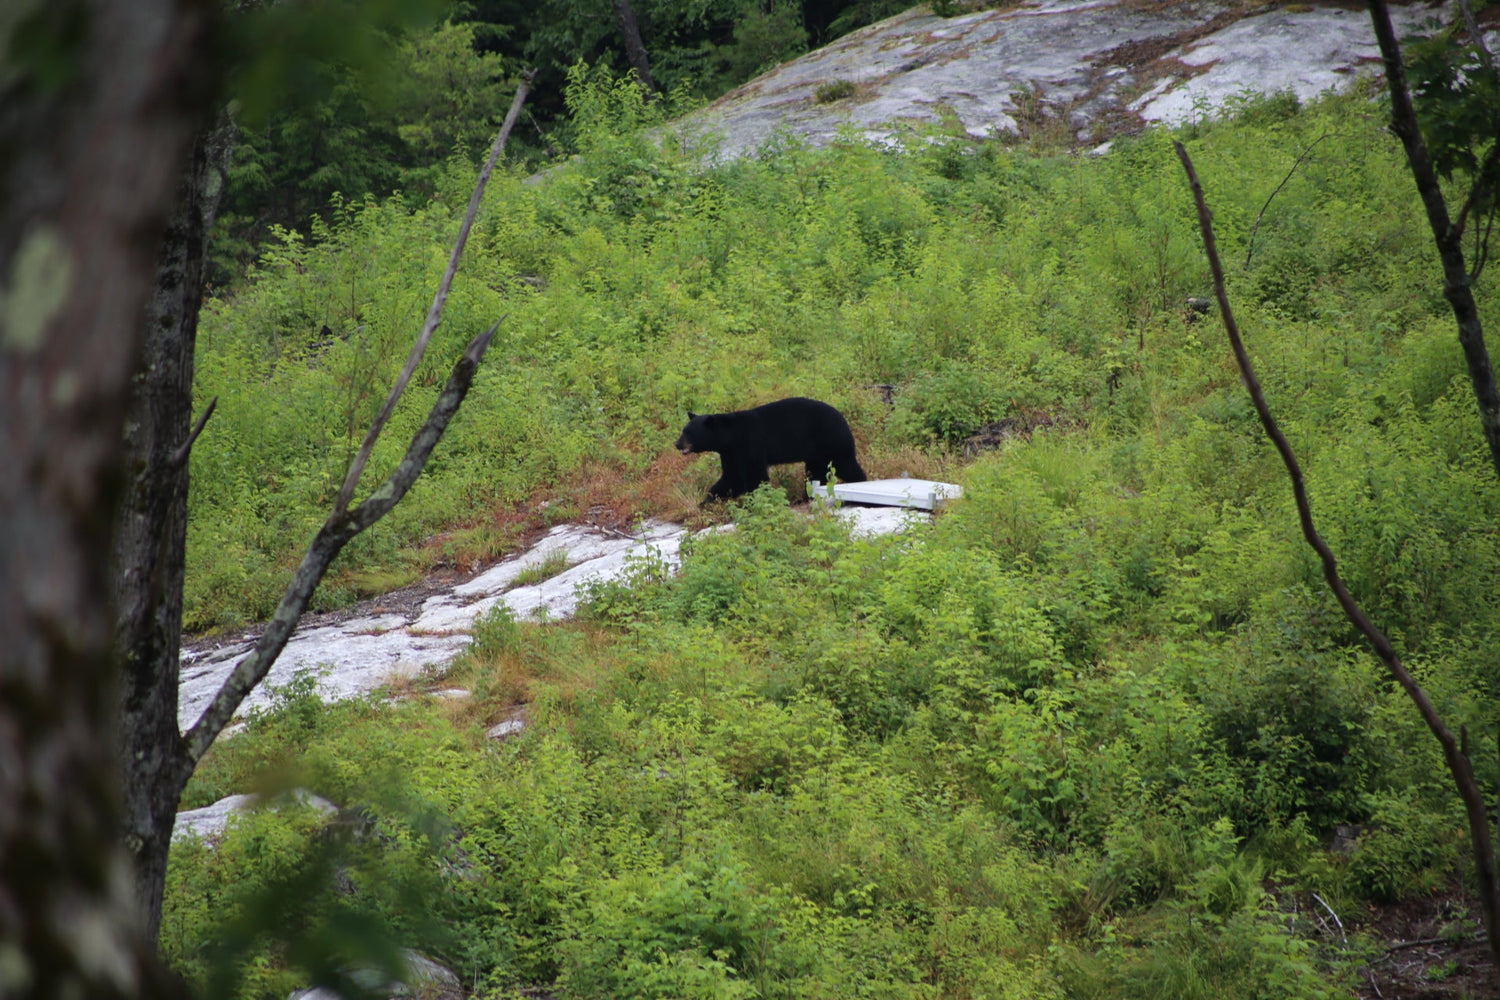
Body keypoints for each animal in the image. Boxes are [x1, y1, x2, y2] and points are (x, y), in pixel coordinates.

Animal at [675, 396, 867, 502]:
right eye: (684, 430)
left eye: (688, 433)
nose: (677, 444)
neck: (730, 436)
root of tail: (843, 419)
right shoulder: (730, 453)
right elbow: (731, 477)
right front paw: (705, 501)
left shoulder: (749, 444)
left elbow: (754, 475)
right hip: (816, 453)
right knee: (815, 473)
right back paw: (805, 497)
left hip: (830, 440)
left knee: (845, 464)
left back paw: (860, 481)